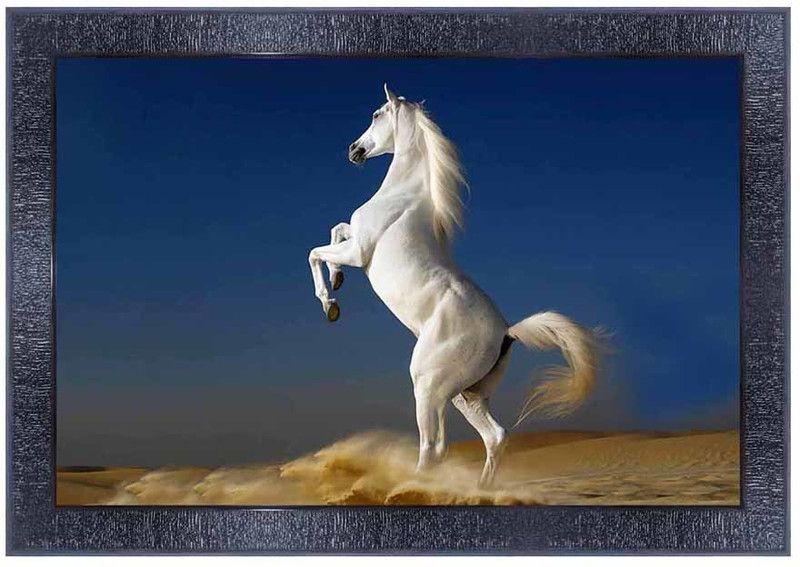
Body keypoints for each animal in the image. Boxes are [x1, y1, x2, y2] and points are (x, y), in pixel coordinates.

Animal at [308, 84, 601, 486]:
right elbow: (336, 230)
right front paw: (337, 281)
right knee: (495, 437)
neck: (402, 197)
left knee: (434, 448)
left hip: (428, 385)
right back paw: (480, 490)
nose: (354, 150)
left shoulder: (360, 251)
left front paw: (330, 302)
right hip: (465, 394)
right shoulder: (354, 243)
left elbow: (316, 251)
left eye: (377, 114)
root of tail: (506, 332)